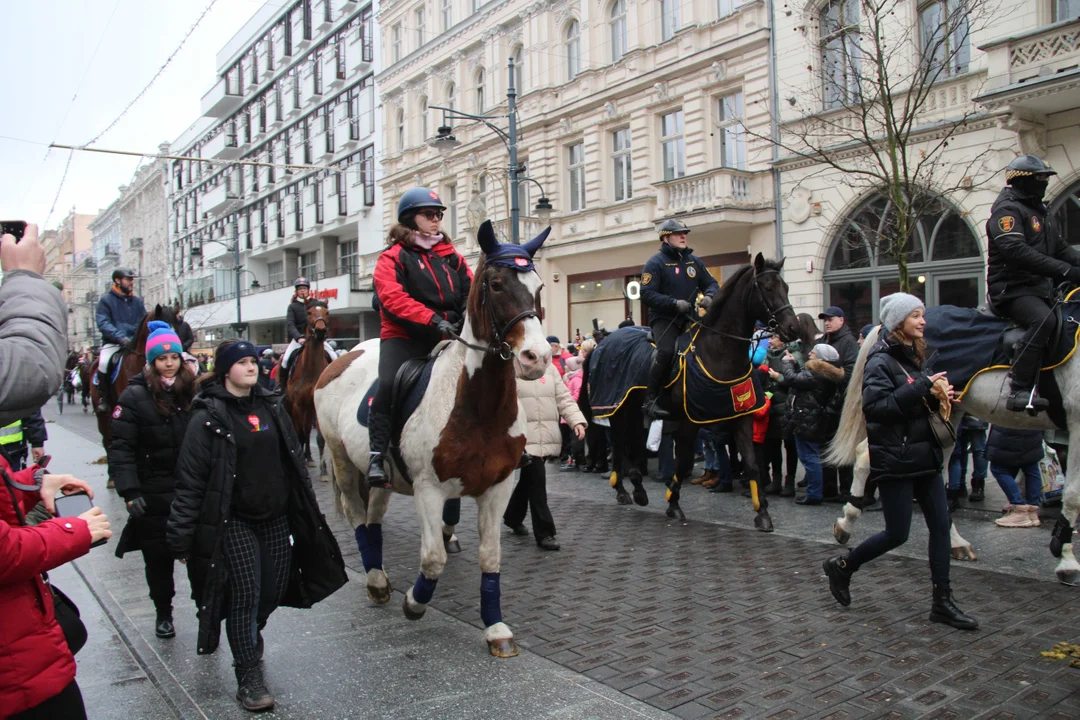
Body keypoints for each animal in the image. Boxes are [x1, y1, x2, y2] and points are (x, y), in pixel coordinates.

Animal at [282, 300, 328, 464]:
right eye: (309, 312)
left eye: (327, 312)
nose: (320, 331)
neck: (310, 371)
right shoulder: (297, 405)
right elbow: (299, 433)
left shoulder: (316, 405)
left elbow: (319, 437)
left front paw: (323, 467)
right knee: (301, 430)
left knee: (307, 429)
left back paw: (308, 455)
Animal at [604, 253, 799, 528]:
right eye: (768, 288)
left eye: (787, 287)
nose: (793, 328)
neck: (718, 352)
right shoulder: (690, 419)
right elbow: (683, 461)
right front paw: (673, 503)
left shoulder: (741, 415)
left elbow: (752, 464)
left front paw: (762, 513)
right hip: (617, 407)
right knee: (620, 442)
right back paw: (623, 489)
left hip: (632, 408)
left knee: (631, 443)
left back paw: (637, 490)